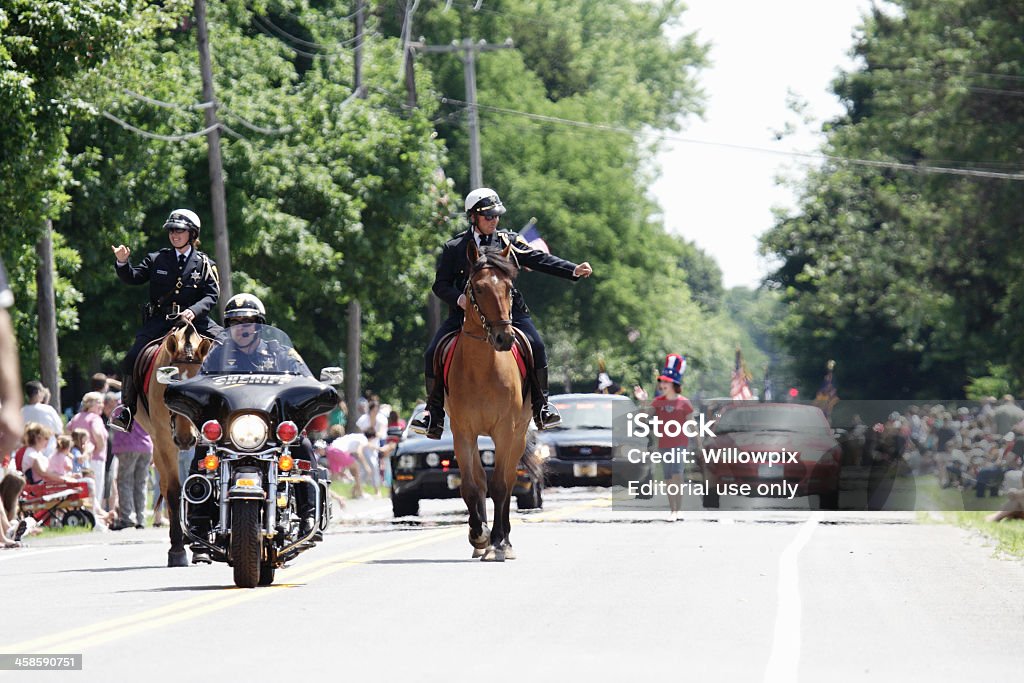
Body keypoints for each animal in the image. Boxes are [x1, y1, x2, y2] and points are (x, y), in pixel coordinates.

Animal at [448, 240, 536, 561]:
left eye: (509, 288)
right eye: (478, 288)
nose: (503, 338)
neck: (482, 368)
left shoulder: (505, 430)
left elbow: (500, 486)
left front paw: (499, 541)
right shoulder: (462, 431)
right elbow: (471, 487)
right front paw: (478, 535)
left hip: (518, 435)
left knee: (508, 482)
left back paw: (503, 539)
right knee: (481, 481)